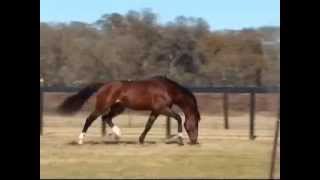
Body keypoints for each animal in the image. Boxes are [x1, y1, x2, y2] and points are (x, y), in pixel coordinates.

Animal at [57, 76, 200, 145]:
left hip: (119, 107)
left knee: (106, 118)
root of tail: (103, 86)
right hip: (102, 106)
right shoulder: (162, 109)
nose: (194, 141)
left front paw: (141, 140)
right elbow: (179, 118)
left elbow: (148, 125)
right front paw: (180, 140)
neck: (167, 89)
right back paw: (80, 140)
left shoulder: (156, 111)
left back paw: (117, 134)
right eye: (196, 124)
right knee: (90, 119)